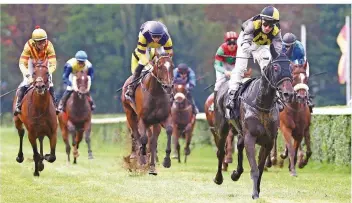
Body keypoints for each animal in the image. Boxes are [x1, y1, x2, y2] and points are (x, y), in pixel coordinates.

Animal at [214, 45, 294, 199]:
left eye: (291, 67)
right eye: (276, 67)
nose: (288, 93)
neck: (262, 103)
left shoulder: (268, 141)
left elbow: (260, 168)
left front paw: (256, 190)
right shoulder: (250, 137)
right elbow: (254, 168)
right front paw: (255, 194)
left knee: (239, 145)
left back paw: (236, 173)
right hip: (222, 127)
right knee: (220, 152)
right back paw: (218, 178)